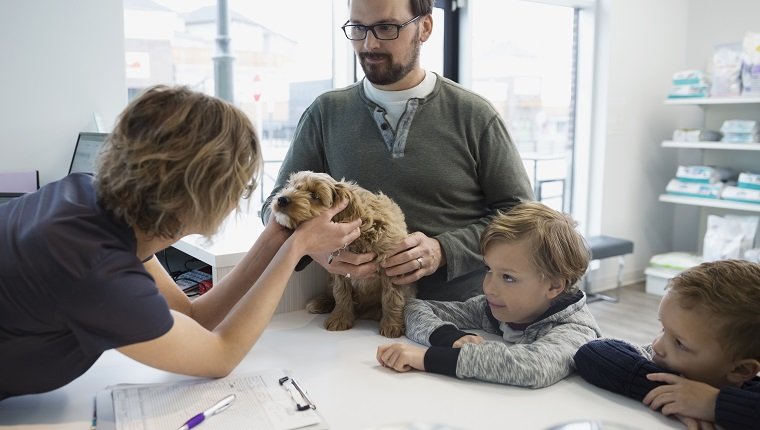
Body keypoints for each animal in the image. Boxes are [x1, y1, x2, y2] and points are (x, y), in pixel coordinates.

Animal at [272, 170, 416, 338]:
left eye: (315, 196)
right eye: (291, 186)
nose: (282, 199)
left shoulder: (392, 264)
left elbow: (392, 296)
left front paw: (392, 325)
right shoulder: (339, 269)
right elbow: (341, 294)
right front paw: (340, 318)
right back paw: (321, 302)